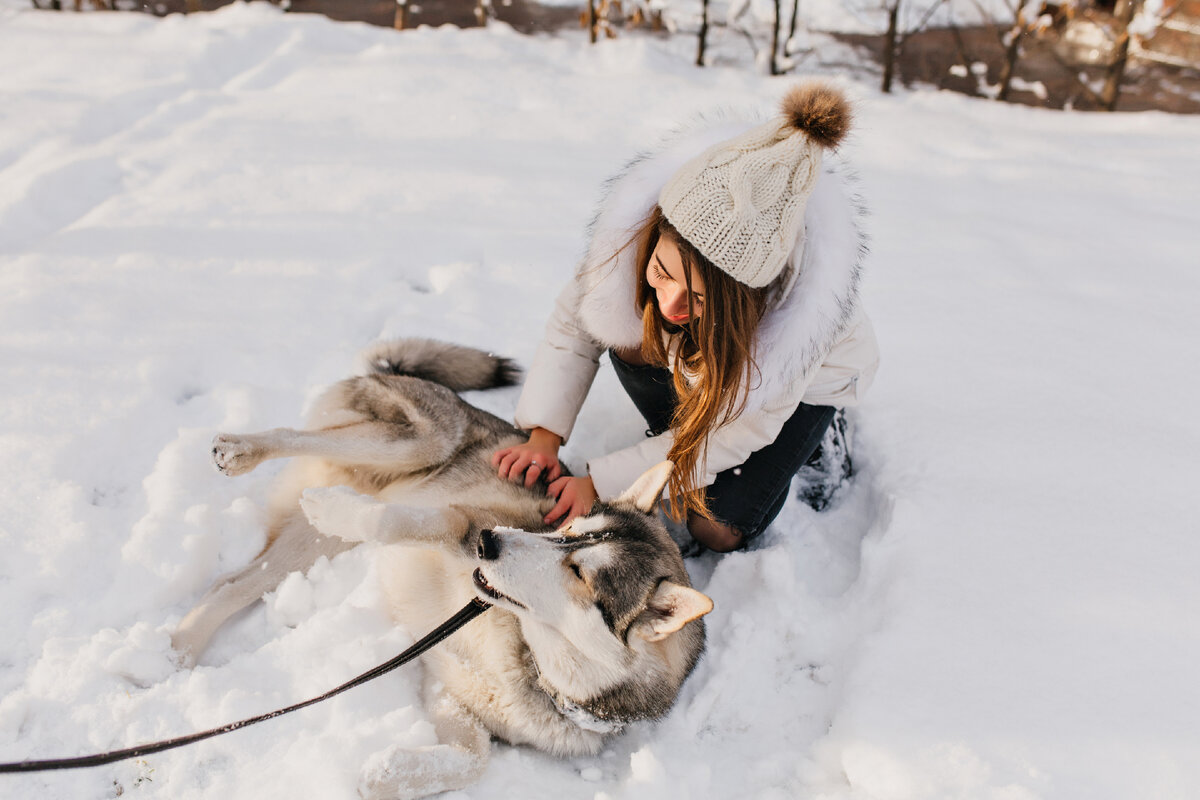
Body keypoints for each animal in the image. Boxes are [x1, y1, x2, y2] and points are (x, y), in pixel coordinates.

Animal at [170, 340, 710, 800]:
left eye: (580, 573)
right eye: (568, 527)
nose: (491, 543)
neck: (533, 663)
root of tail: (398, 373)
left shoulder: (448, 688)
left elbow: (473, 759)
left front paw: (386, 775)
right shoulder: (457, 522)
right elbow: (391, 521)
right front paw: (344, 509)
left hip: (308, 544)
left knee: (230, 584)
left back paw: (178, 650)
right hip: (418, 443)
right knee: (294, 437)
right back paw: (243, 452)